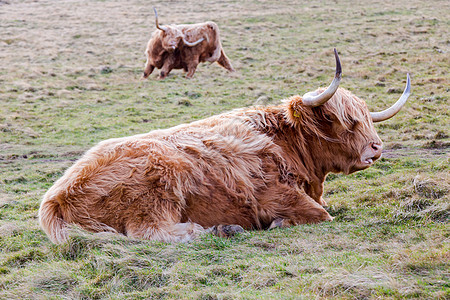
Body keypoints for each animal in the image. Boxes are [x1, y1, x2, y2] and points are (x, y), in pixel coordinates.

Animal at [39, 49, 412, 244]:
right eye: (338, 119)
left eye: (364, 118)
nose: (376, 148)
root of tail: (55, 196)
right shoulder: (274, 194)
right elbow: (320, 214)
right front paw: (277, 223)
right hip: (159, 190)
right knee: (150, 233)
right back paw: (221, 228)